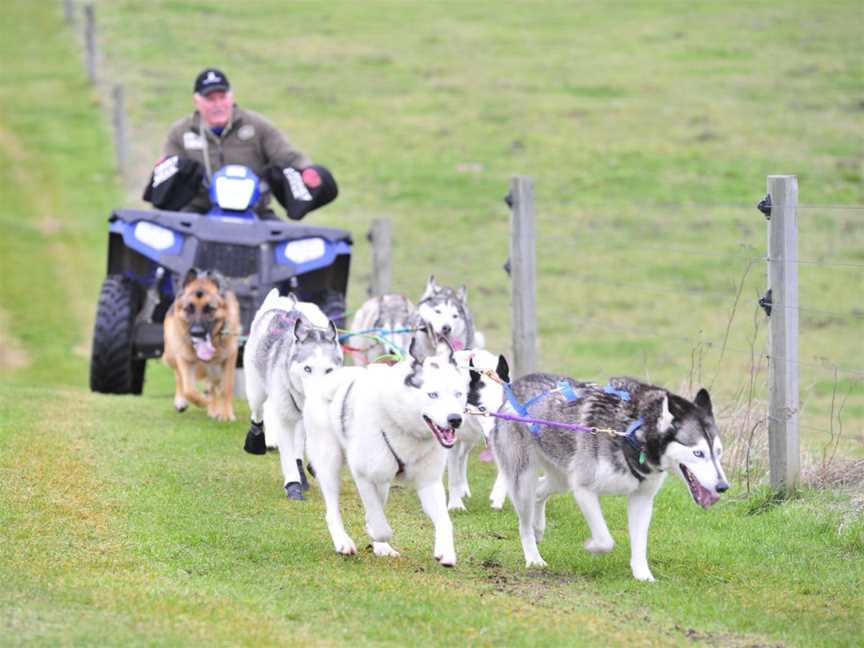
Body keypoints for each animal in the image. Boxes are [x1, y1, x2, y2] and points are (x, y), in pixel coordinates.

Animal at [163, 270, 241, 422]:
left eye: (209, 309)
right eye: (189, 308)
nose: (197, 332)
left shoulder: (229, 358)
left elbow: (226, 388)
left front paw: (226, 414)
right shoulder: (184, 357)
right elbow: (189, 390)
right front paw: (203, 401)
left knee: (213, 386)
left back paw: (214, 410)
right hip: (171, 355)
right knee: (179, 376)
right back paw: (182, 401)